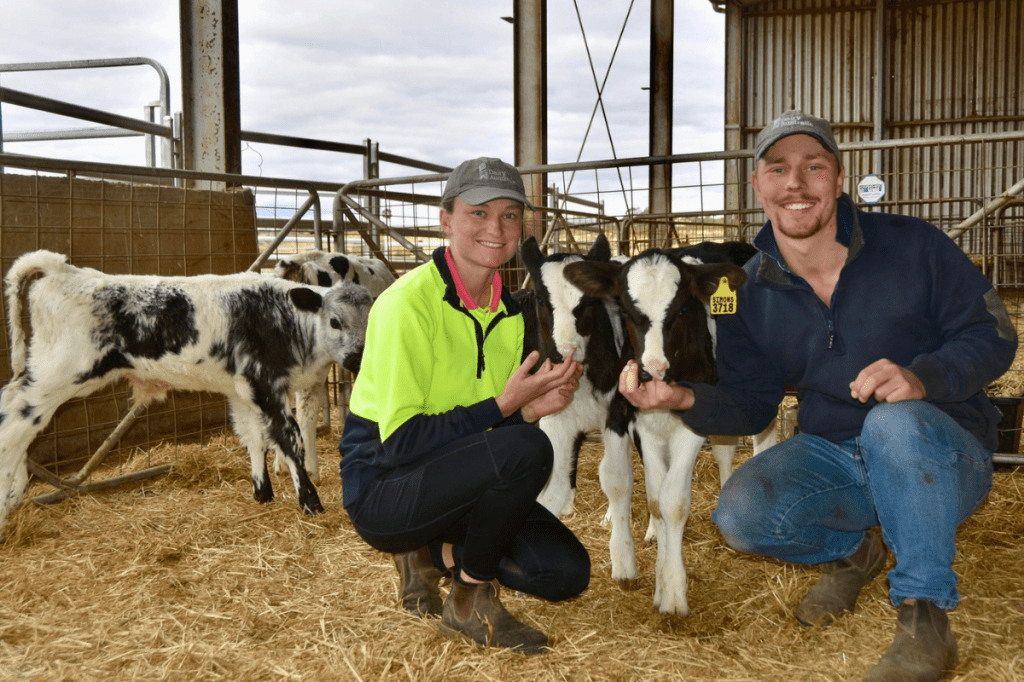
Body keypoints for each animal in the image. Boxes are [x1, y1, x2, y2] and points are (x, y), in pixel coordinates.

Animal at [0, 250, 372, 533]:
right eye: (335, 321)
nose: (359, 357)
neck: (282, 317)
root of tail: (64, 269)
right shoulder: (266, 383)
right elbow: (289, 439)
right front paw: (311, 502)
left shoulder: (241, 390)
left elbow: (254, 438)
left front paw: (262, 493)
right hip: (59, 374)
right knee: (15, 428)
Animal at [565, 249, 747, 615]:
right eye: (625, 310)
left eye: (683, 309)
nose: (653, 370)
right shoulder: (639, 422)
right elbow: (650, 496)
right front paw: (639, 567)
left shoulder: (695, 418)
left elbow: (673, 501)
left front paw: (673, 592)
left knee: (725, 453)